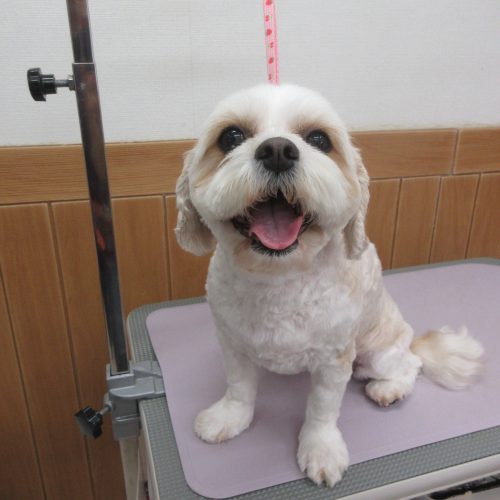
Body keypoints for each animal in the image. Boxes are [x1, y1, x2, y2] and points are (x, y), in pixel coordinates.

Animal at [175, 84, 483, 487]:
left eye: (319, 139)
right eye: (231, 136)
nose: (278, 150)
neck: (280, 279)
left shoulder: (334, 358)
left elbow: (322, 409)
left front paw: (321, 450)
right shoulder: (233, 344)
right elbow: (240, 387)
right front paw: (229, 417)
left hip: (376, 351)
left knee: (411, 364)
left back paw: (389, 388)